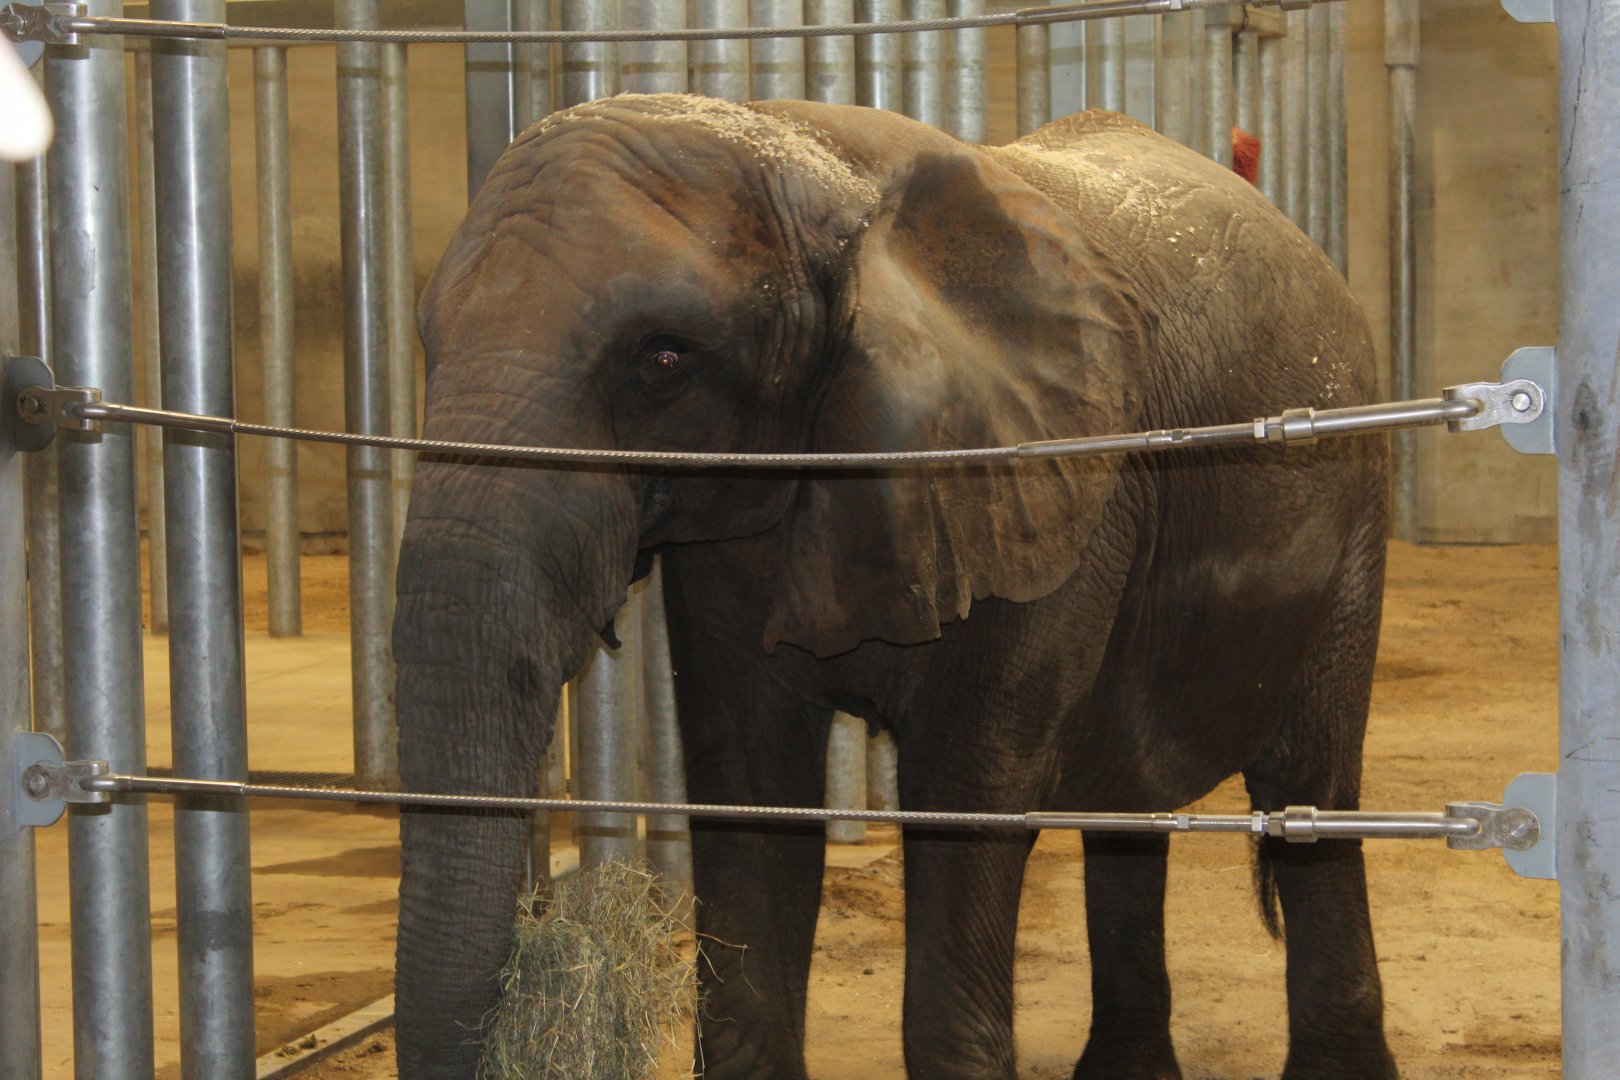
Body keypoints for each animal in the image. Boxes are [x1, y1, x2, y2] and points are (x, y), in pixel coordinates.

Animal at [391, 93, 1394, 1080]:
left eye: (664, 360)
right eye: (426, 341)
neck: (818, 166)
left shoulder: (1045, 489)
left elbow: (965, 805)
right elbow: (753, 797)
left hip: (1353, 509)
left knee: (1311, 787)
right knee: (1127, 794)